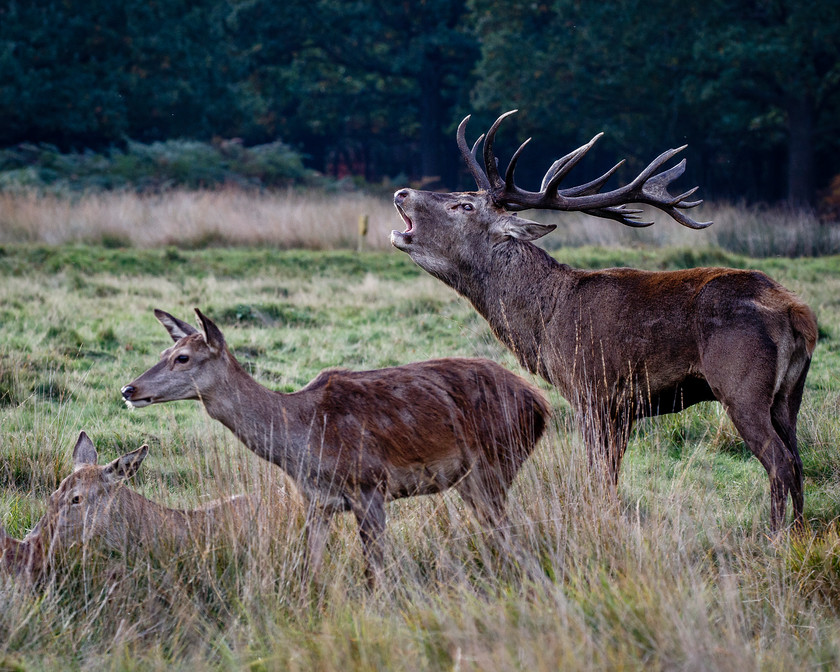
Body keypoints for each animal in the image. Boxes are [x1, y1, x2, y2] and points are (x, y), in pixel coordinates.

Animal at [120, 310, 552, 576]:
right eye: (165, 350)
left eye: (183, 358)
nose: (128, 389)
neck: (304, 441)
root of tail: (540, 403)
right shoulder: (315, 501)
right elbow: (310, 566)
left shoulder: (370, 485)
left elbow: (375, 572)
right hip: (472, 479)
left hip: (495, 464)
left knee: (511, 534)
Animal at [390, 110, 816, 532]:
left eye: (465, 206)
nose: (402, 193)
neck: (545, 322)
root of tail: (797, 313)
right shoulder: (622, 408)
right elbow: (610, 474)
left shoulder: (591, 389)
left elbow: (597, 473)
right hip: (788, 395)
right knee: (798, 462)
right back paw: (798, 534)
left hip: (740, 385)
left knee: (780, 463)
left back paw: (774, 536)